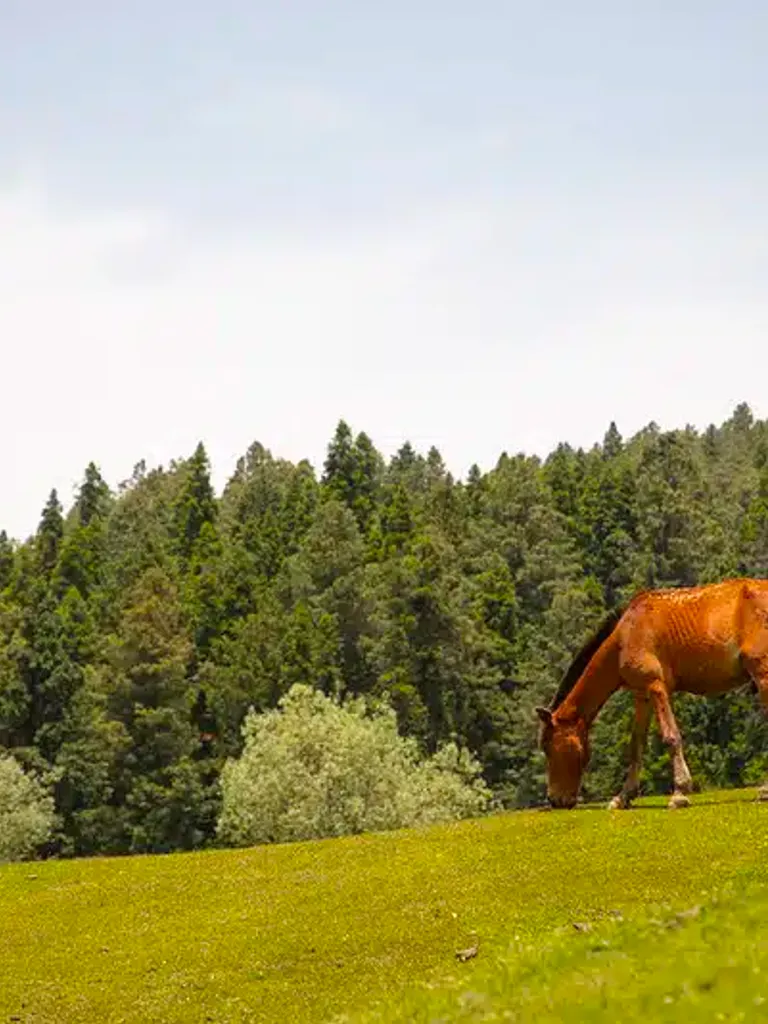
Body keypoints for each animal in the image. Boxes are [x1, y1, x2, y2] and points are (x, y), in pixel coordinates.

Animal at [535, 577, 768, 810]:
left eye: (547, 747)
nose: (554, 800)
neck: (625, 636)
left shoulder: (656, 687)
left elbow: (671, 736)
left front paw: (680, 792)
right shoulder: (642, 695)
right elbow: (636, 745)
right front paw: (624, 796)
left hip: (762, 675)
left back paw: (764, 790)